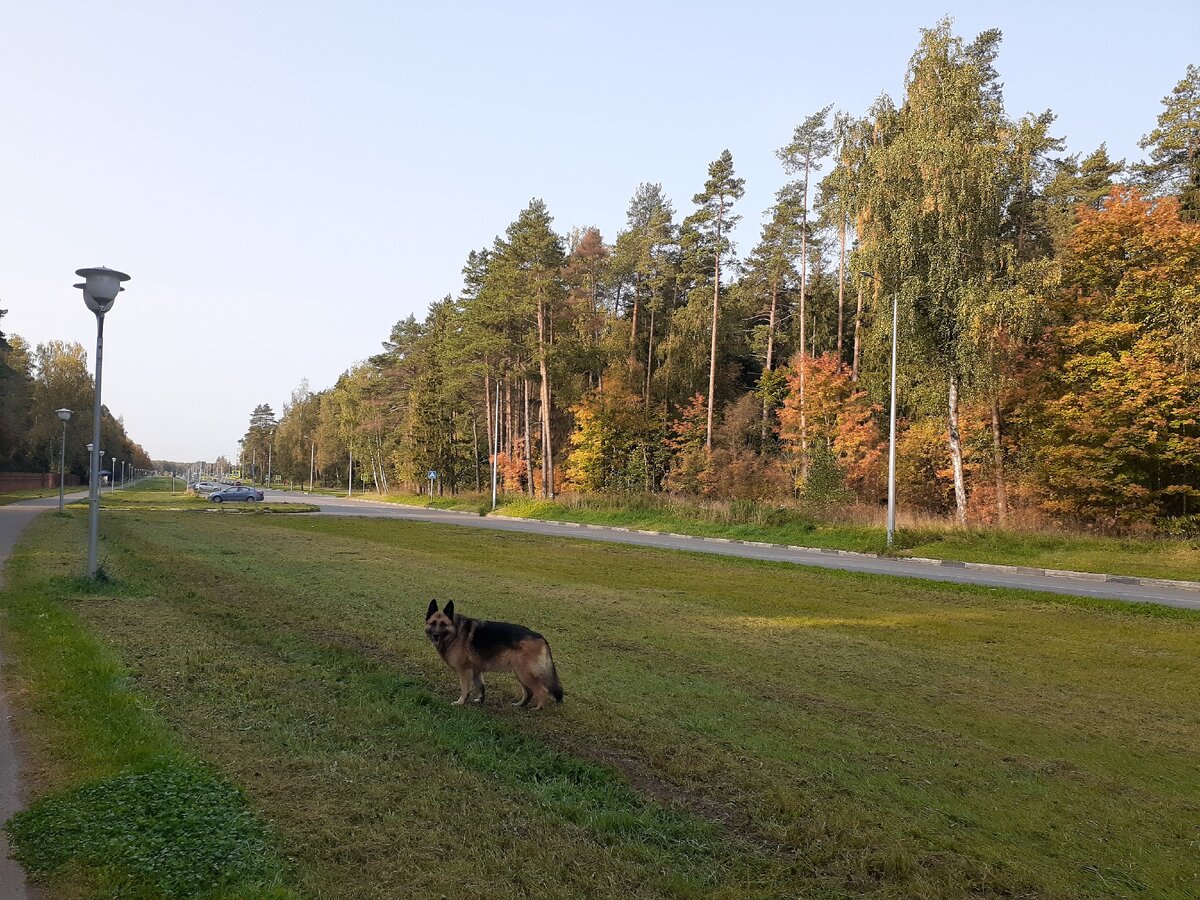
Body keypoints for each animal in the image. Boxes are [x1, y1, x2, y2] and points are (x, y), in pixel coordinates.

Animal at [424, 600, 564, 710]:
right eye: (432, 623)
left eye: (443, 625)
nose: (435, 635)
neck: (456, 632)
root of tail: (540, 637)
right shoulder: (476, 672)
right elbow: (481, 688)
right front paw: (480, 701)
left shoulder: (464, 672)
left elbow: (465, 689)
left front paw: (461, 702)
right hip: (520, 674)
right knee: (529, 692)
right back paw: (520, 705)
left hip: (525, 674)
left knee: (542, 691)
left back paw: (537, 709)